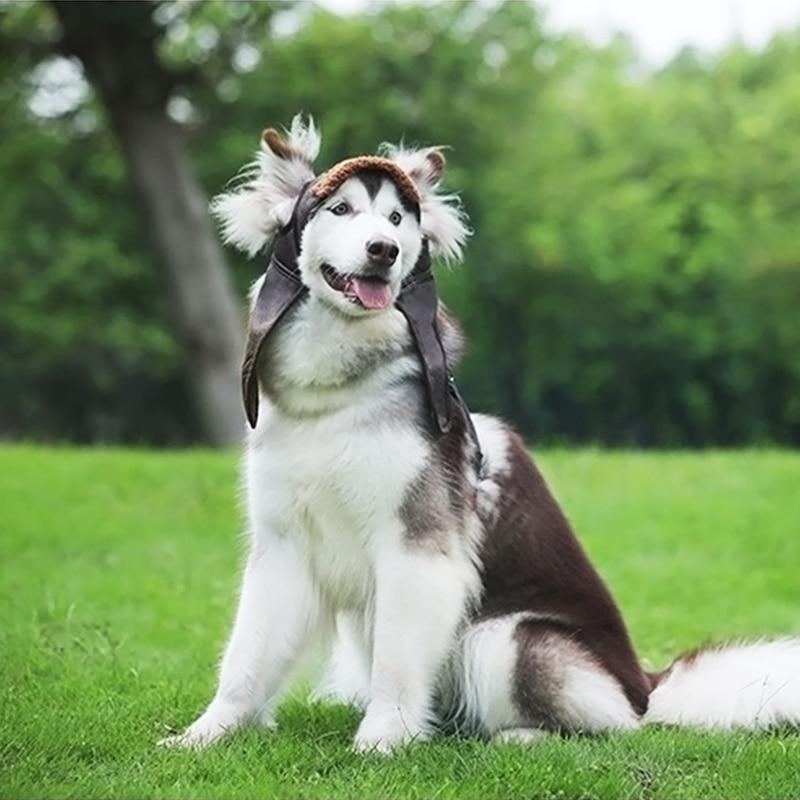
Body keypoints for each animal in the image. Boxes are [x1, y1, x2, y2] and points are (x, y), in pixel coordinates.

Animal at [159, 115, 796, 752]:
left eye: (397, 219)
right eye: (340, 209)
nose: (384, 250)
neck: (337, 399)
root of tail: (646, 684)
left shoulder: (419, 549)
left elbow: (397, 662)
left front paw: (383, 740)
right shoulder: (284, 547)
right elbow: (246, 657)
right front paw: (207, 734)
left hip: (507, 637)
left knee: (609, 726)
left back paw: (520, 737)